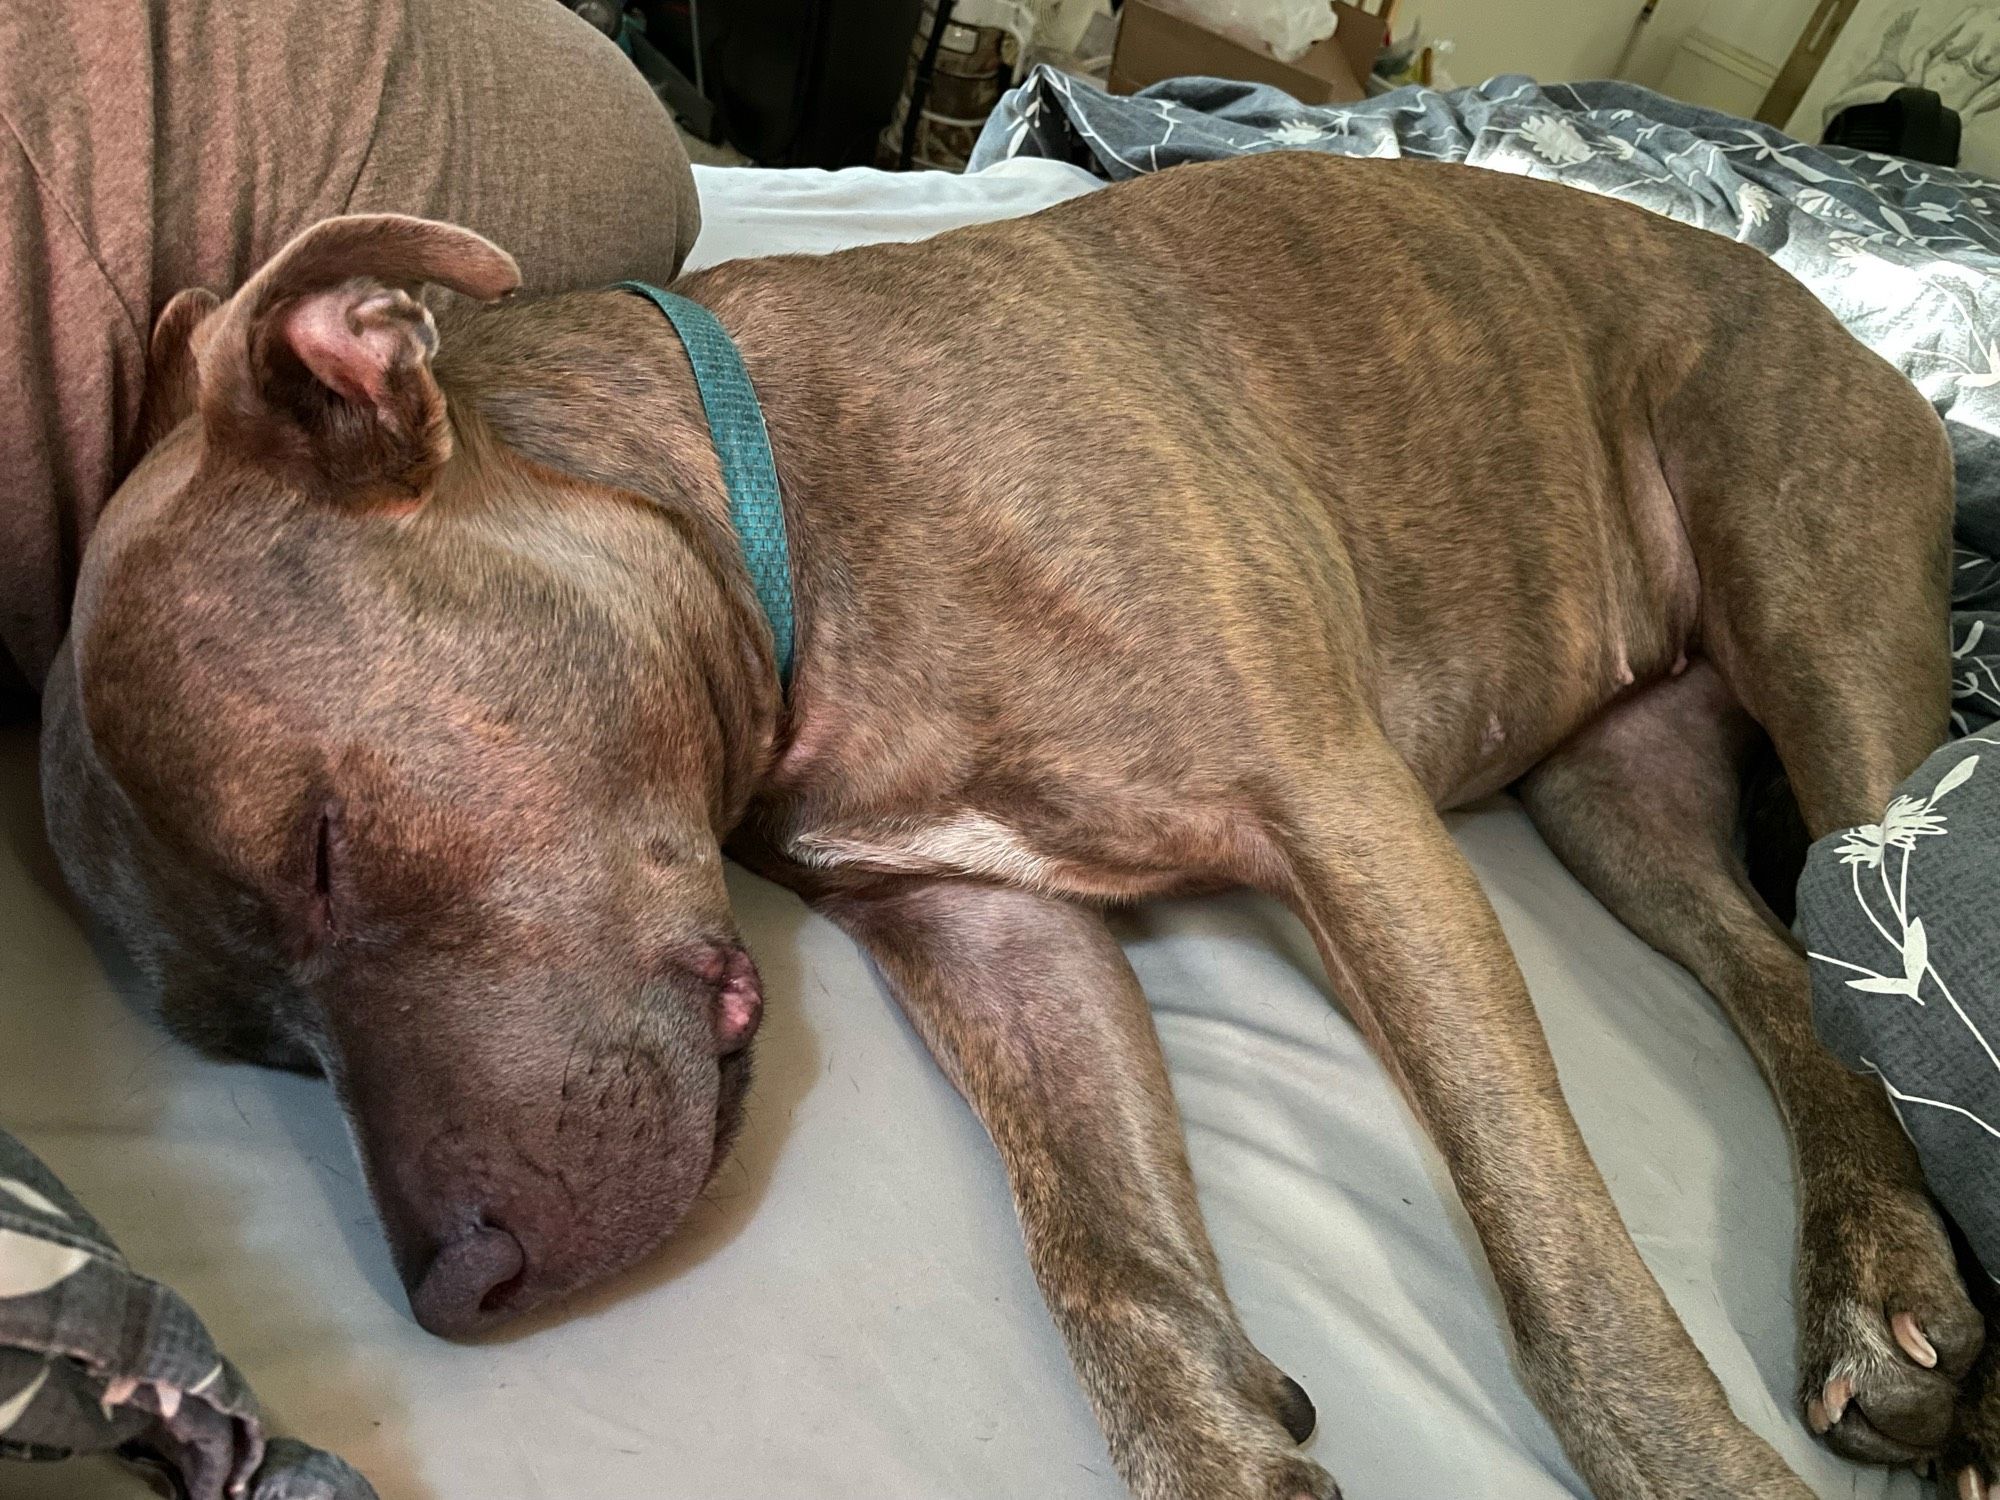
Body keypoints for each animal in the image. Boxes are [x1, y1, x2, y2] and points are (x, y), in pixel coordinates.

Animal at [39, 156, 1992, 1500]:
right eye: (260, 1048)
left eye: (323, 847)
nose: (450, 1290)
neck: (783, 518)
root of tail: (1834, 319)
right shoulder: (993, 933)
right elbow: (1103, 1260)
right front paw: (1225, 1442)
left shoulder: (1350, 823)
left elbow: (1559, 1266)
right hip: (1616, 801)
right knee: (1797, 976)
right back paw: (1879, 1280)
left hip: (1819, 635)